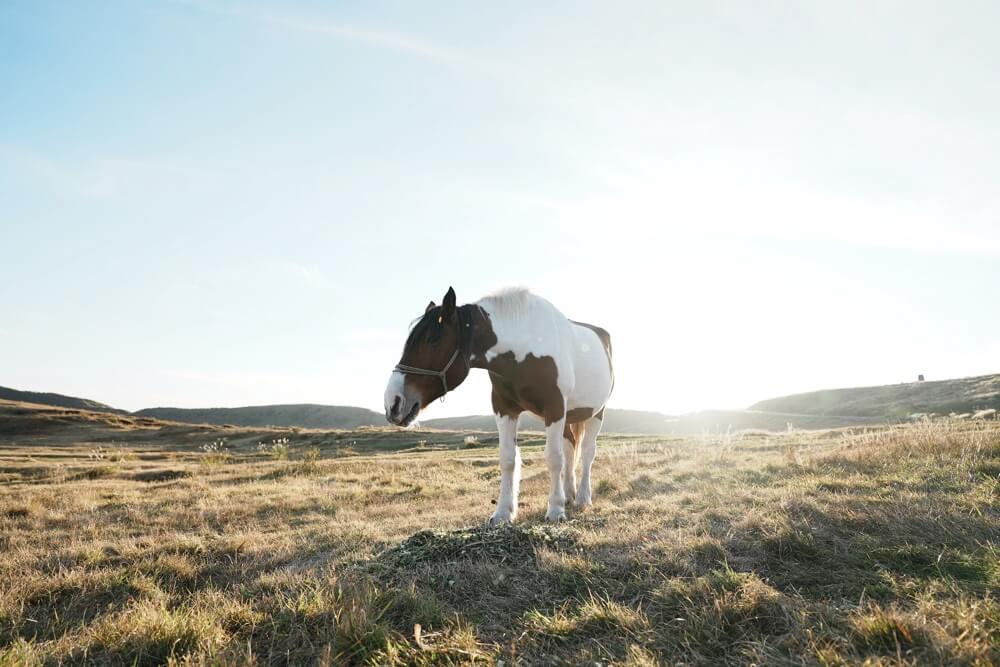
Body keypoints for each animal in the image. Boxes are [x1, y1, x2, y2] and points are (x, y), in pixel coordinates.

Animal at [384, 286, 612, 520]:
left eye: (433, 340)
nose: (393, 402)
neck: (526, 345)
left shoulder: (554, 408)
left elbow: (553, 458)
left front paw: (556, 510)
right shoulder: (505, 408)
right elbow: (508, 459)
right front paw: (503, 512)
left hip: (595, 413)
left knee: (587, 452)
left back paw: (583, 498)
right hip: (568, 416)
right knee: (570, 448)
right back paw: (569, 494)